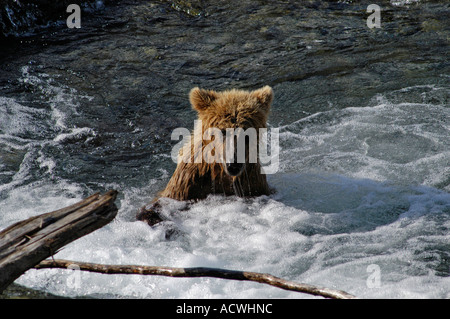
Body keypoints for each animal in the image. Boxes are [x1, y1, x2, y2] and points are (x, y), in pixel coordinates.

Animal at [137, 86, 272, 226]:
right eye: (223, 131)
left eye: (247, 133)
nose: (234, 165)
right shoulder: (188, 182)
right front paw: (151, 216)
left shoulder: (251, 182)